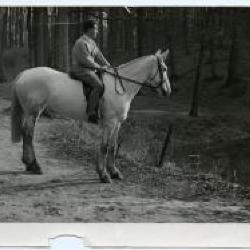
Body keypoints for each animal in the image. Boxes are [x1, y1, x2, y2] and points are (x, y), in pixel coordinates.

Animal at [10, 49, 171, 184]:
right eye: (163, 69)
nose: (167, 91)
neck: (121, 86)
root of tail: (23, 74)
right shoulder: (110, 123)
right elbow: (104, 147)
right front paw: (103, 174)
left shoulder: (117, 123)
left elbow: (113, 146)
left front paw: (114, 172)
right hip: (33, 111)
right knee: (28, 134)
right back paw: (34, 165)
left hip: (34, 112)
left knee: (27, 133)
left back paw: (30, 165)